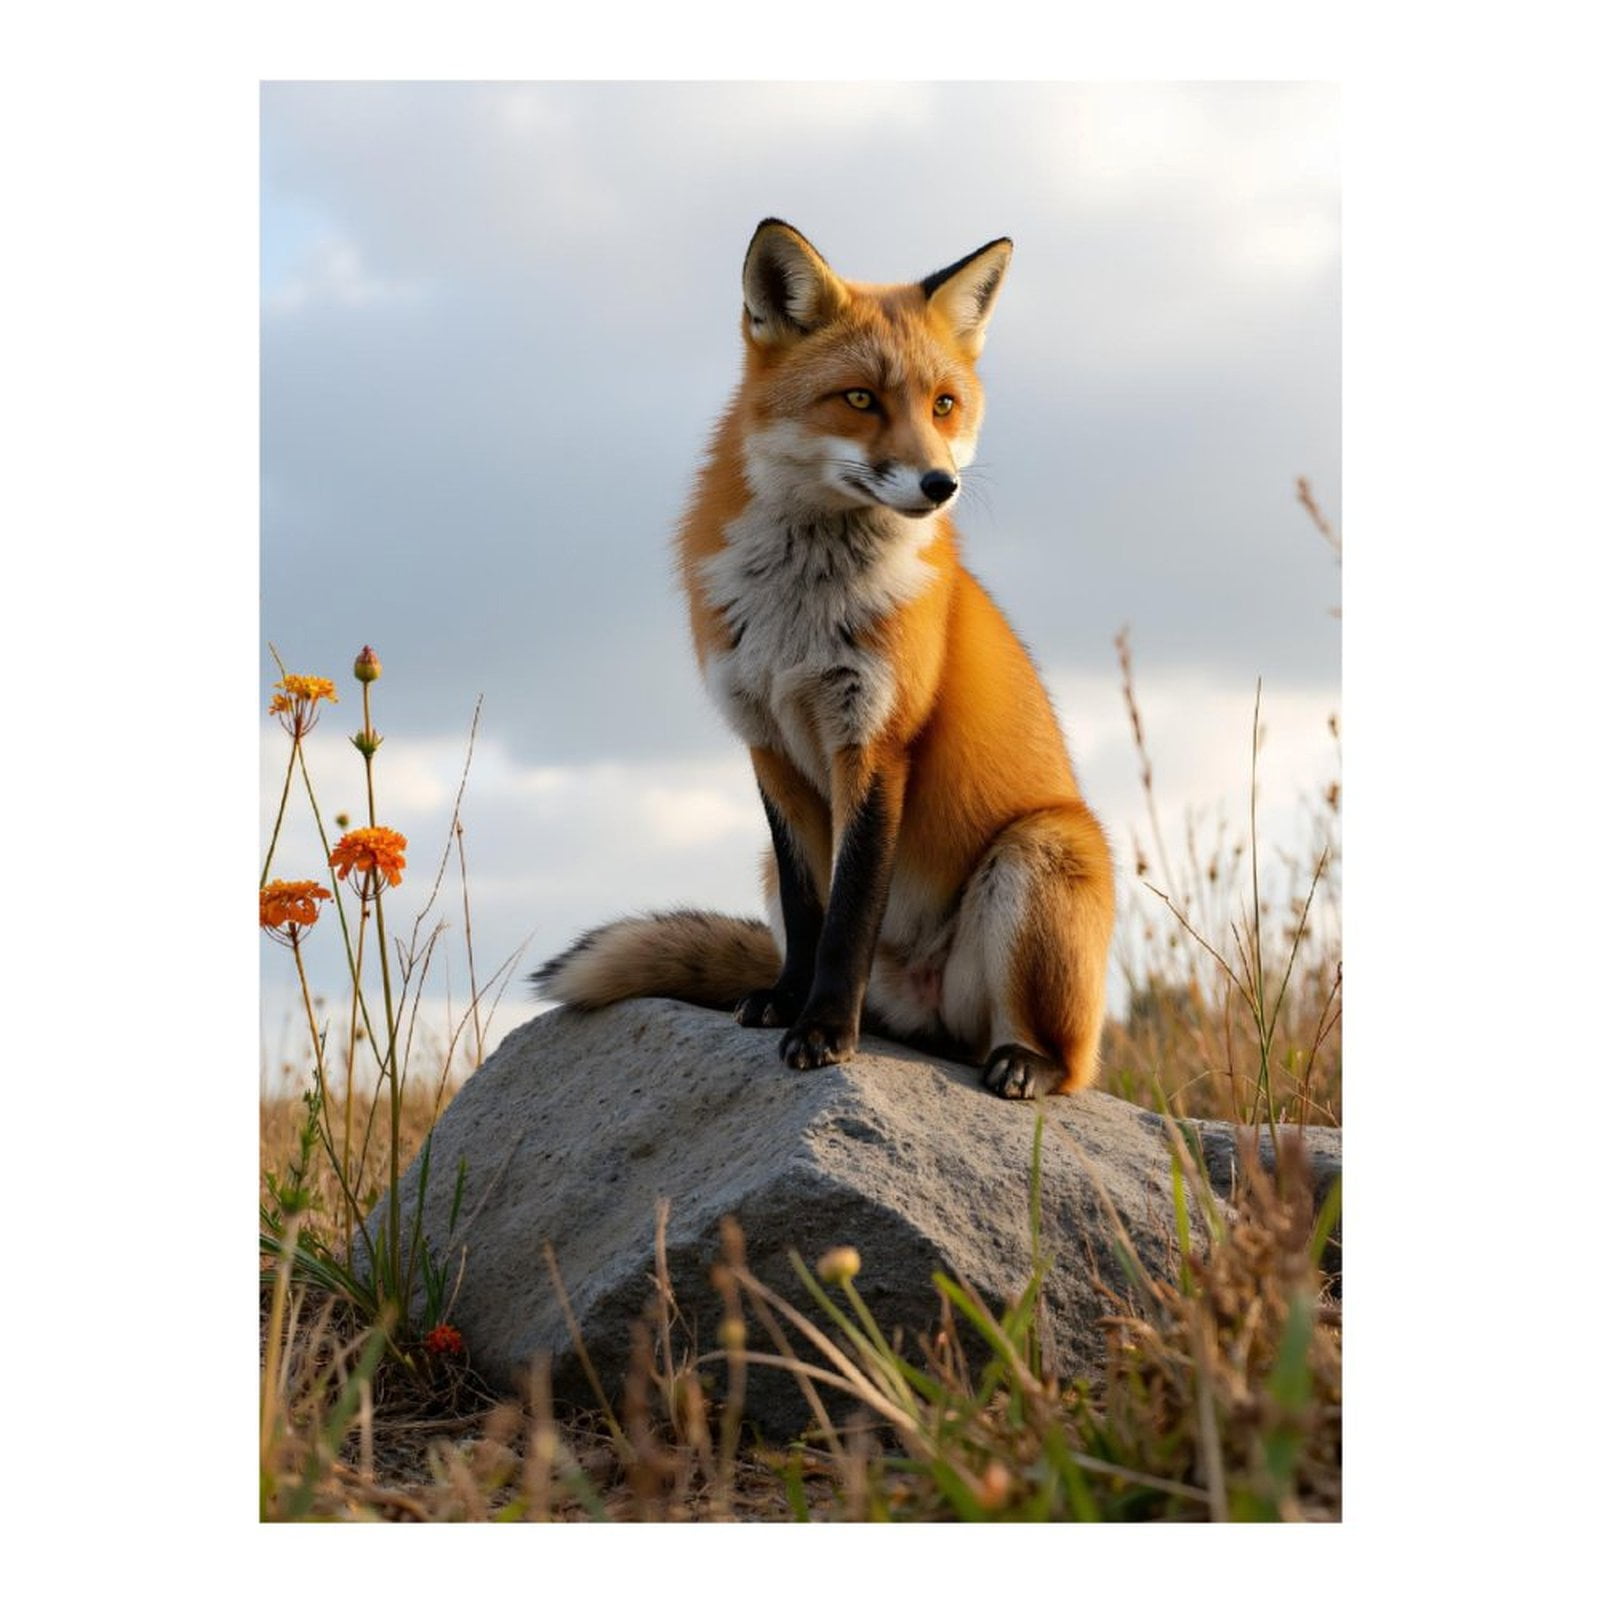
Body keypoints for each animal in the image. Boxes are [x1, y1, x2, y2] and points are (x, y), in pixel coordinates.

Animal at [534, 219, 1115, 1097]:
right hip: (775, 875)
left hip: (1040, 851)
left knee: (1066, 1061)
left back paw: (1022, 1061)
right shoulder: (769, 745)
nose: (939, 484)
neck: (797, 618)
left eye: (944, 405)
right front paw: (787, 1004)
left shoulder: (874, 740)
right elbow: (814, 916)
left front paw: (826, 1031)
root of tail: (922, 1011)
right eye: (861, 398)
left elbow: (850, 915)